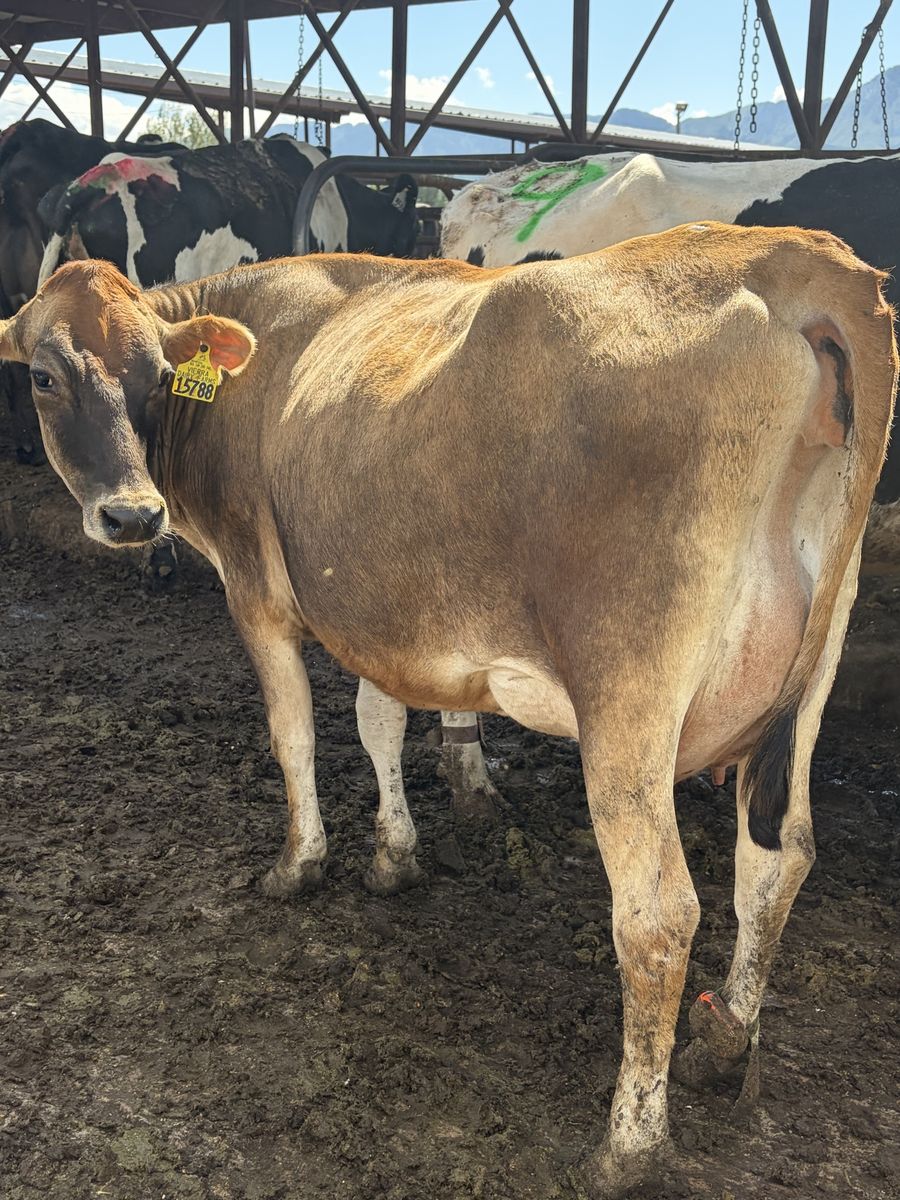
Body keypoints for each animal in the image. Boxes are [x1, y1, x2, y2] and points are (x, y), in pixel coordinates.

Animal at [1, 223, 894, 1195]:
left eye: (159, 371)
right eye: (43, 376)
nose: (132, 515)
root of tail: (789, 252)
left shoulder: (257, 592)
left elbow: (295, 734)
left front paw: (298, 864)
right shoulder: (382, 610)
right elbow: (379, 722)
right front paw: (395, 855)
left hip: (629, 686)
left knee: (659, 914)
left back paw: (628, 1143)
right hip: (816, 657)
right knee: (776, 856)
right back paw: (725, 1043)